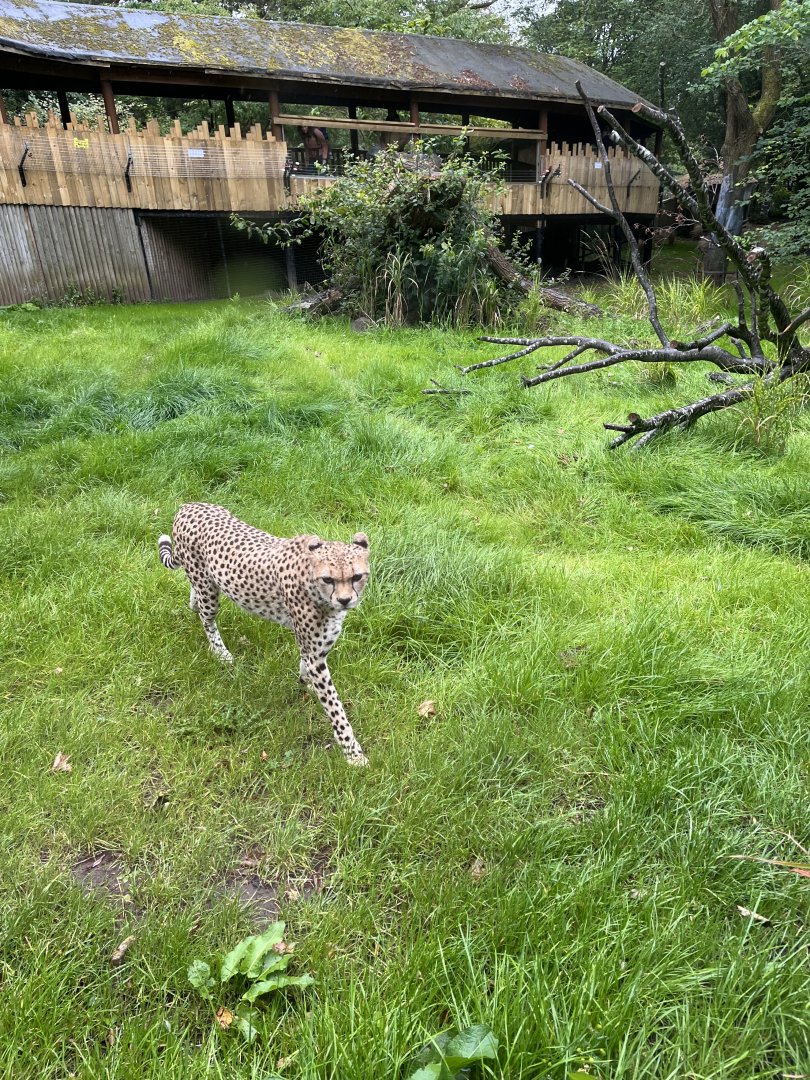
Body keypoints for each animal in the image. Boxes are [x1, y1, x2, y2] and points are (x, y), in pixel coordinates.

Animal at [158, 502, 370, 765]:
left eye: (356, 576)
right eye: (328, 579)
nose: (345, 600)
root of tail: (187, 506)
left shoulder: (316, 648)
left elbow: (306, 666)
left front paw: (306, 683)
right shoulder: (315, 654)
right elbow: (335, 707)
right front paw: (353, 754)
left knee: (195, 596)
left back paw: (193, 603)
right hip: (209, 590)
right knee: (207, 619)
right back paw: (220, 652)